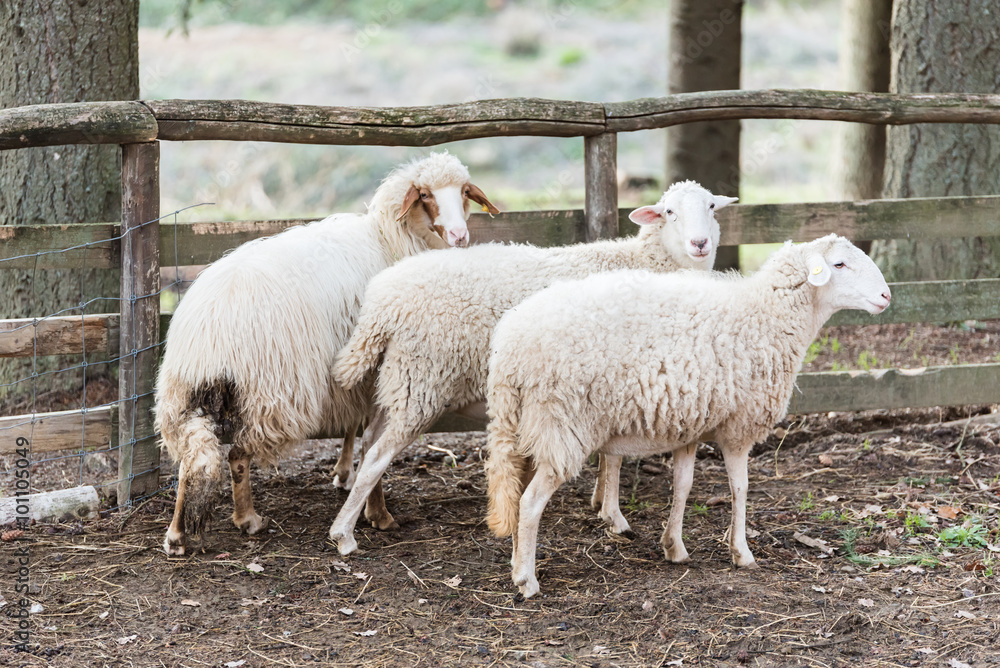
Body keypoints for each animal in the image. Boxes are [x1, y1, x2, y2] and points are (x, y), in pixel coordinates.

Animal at [156, 151, 498, 556]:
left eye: (464, 191)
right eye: (425, 194)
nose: (460, 235)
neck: (390, 238)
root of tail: (208, 336)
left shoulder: (354, 370)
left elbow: (355, 430)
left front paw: (344, 475)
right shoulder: (376, 368)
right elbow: (371, 441)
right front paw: (376, 511)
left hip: (185, 395)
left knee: (191, 459)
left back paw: (176, 536)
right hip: (272, 393)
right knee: (238, 454)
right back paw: (248, 519)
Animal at [327, 181, 737, 555]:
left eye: (712, 206)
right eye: (669, 212)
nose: (700, 243)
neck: (646, 262)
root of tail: (383, 302)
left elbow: (610, 455)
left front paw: (601, 504)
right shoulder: (620, 377)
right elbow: (615, 458)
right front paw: (614, 516)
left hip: (398, 377)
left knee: (370, 441)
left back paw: (377, 515)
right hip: (422, 378)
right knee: (377, 456)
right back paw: (344, 534)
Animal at [484, 234, 891, 598]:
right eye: (839, 264)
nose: (887, 296)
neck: (766, 315)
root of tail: (510, 349)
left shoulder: (689, 425)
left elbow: (682, 485)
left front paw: (674, 547)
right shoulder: (738, 427)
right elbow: (740, 487)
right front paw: (741, 552)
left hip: (522, 427)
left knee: (515, 497)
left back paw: (516, 566)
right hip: (561, 424)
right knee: (530, 503)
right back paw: (527, 581)